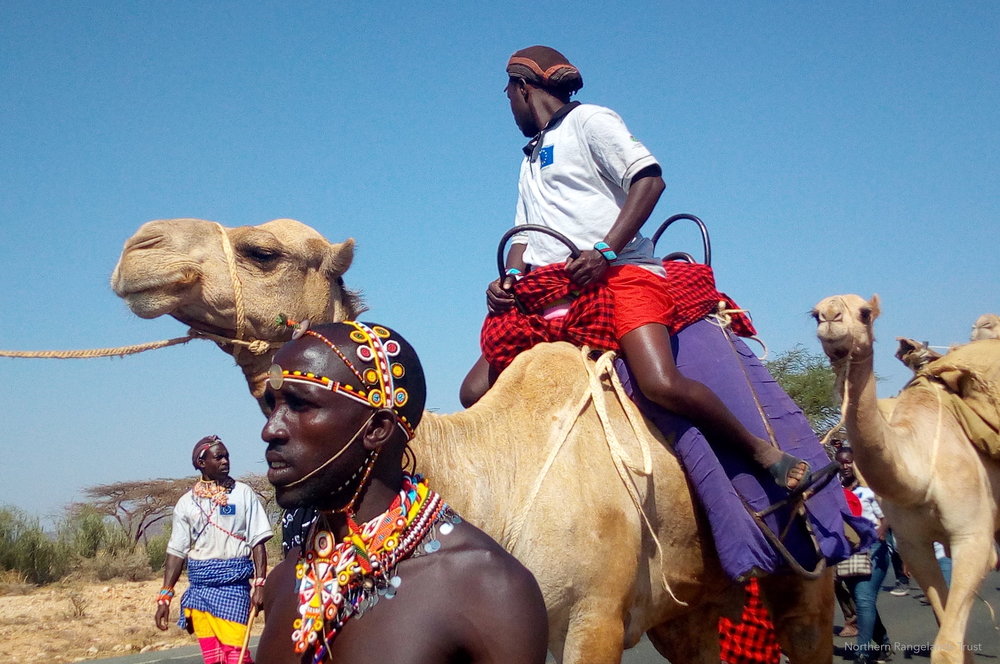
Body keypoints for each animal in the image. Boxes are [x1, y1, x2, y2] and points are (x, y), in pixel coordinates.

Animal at [812, 296, 1000, 664]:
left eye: (864, 313)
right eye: (815, 314)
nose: (829, 316)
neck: (921, 466)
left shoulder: (973, 536)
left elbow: (947, 645)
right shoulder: (914, 545)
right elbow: (949, 632)